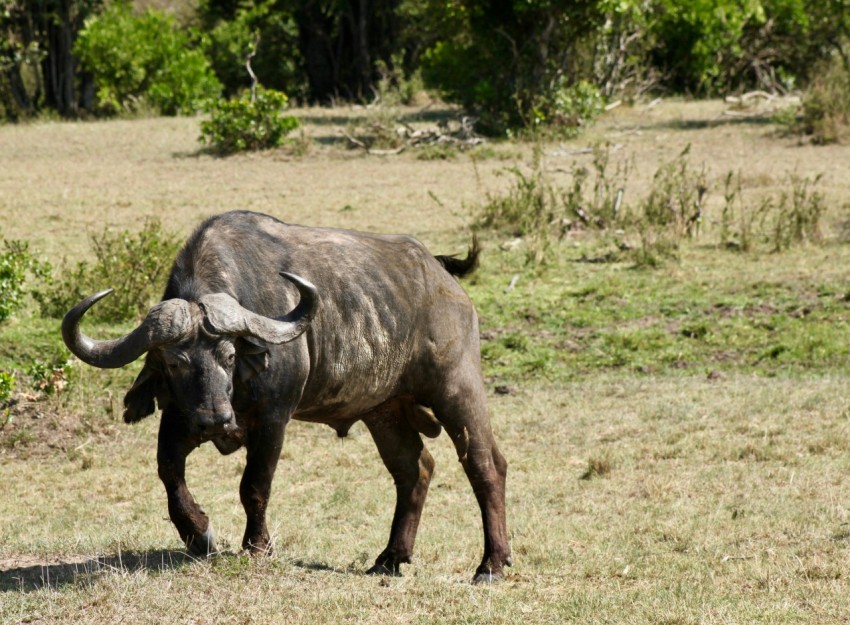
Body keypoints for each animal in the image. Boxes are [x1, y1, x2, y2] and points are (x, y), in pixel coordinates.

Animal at [62, 210, 510, 582]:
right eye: (173, 363)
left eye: (228, 355)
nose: (214, 421)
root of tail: (444, 279)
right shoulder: (178, 418)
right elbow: (170, 474)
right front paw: (200, 534)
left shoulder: (274, 419)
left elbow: (254, 485)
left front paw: (257, 546)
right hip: (385, 410)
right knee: (415, 469)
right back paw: (390, 558)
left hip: (457, 388)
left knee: (486, 465)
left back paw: (491, 564)